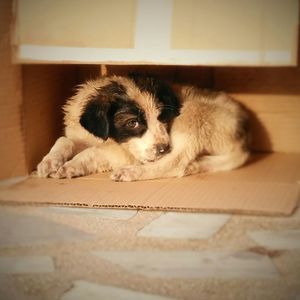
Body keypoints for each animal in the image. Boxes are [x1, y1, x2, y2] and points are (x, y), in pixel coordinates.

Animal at [36, 74, 250, 182]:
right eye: (133, 123)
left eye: (162, 117)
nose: (164, 148)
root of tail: (245, 136)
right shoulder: (80, 134)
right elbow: (64, 140)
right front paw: (49, 162)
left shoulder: (125, 153)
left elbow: (93, 152)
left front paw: (70, 166)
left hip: (194, 113)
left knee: (177, 162)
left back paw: (131, 173)